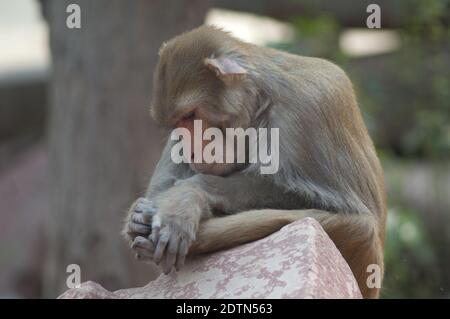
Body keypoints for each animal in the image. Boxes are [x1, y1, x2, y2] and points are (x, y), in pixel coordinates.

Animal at [122, 25, 386, 300]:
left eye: (191, 115)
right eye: (178, 122)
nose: (191, 150)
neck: (260, 104)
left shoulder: (306, 112)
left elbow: (337, 206)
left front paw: (188, 195)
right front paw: (143, 214)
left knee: (362, 228)